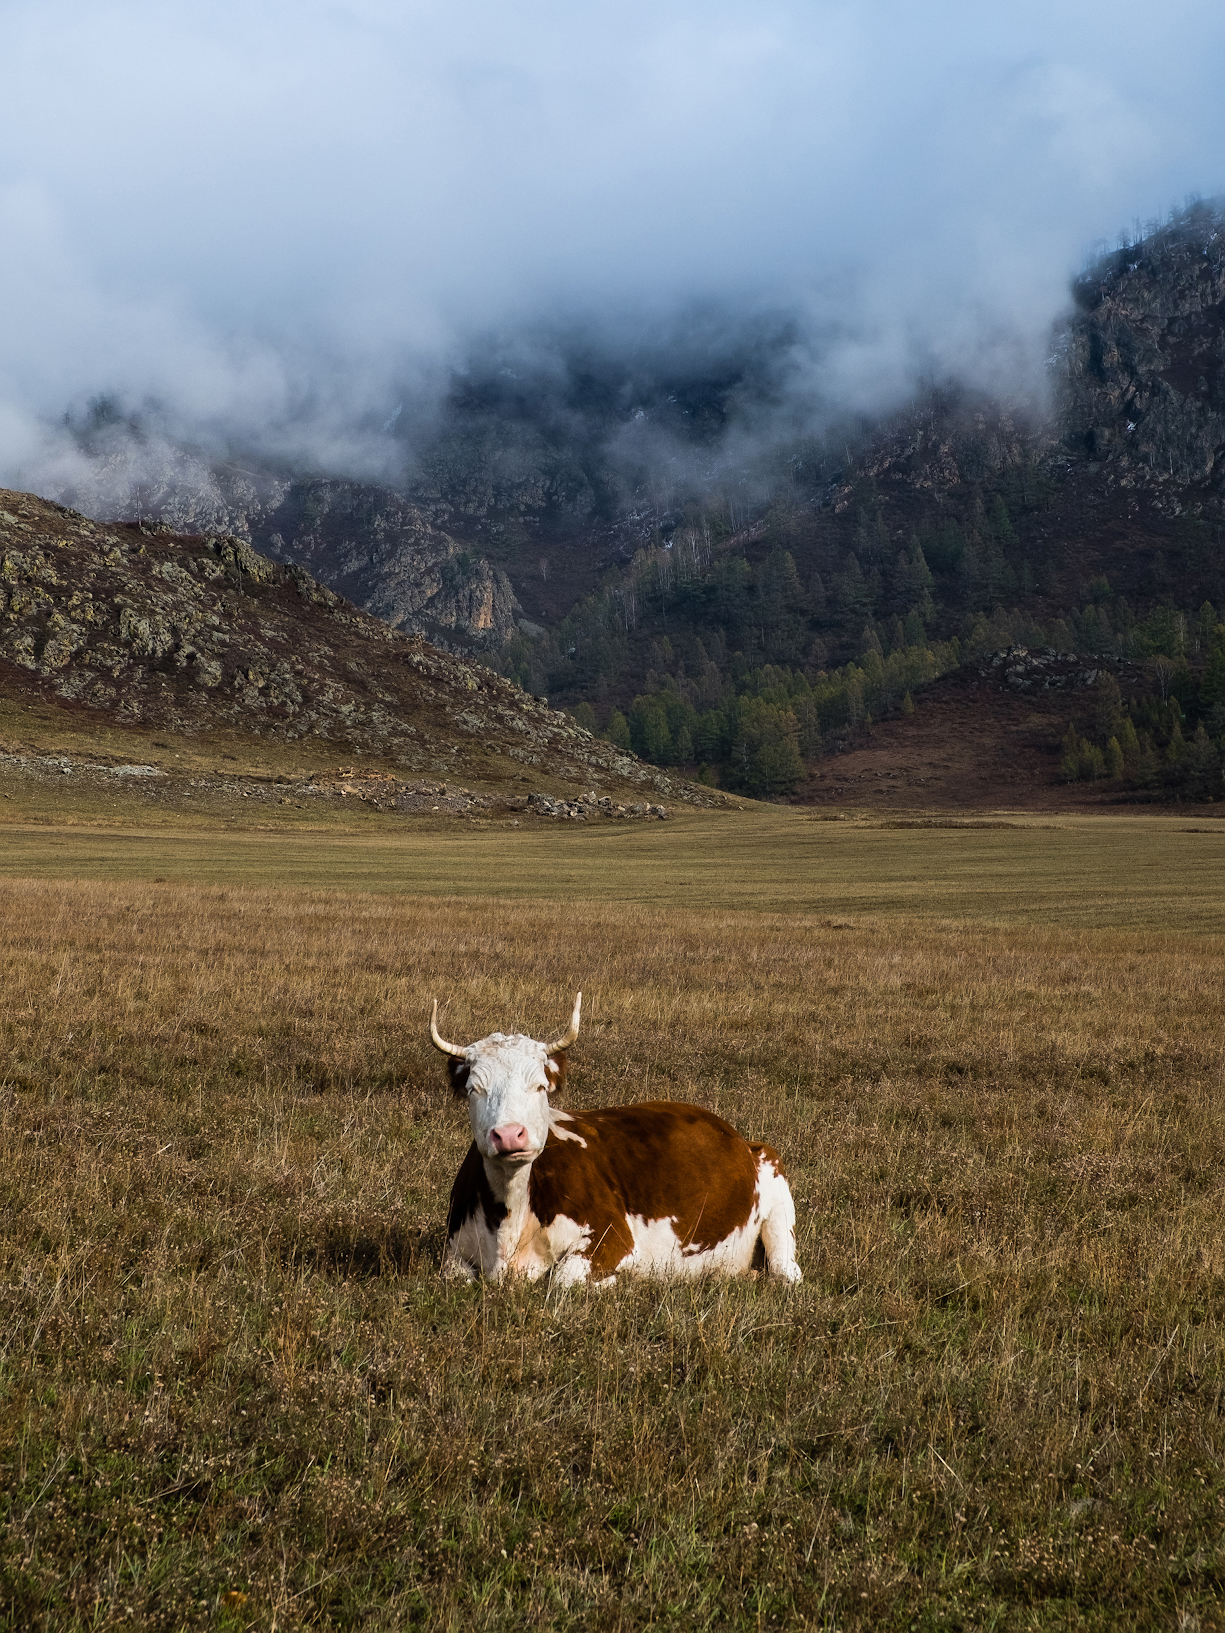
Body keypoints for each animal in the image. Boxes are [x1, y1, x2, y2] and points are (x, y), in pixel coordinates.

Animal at [431, 979, 806, 1286]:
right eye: (474, 1089)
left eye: (539, 1086)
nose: (510, 1135)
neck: (510, 1220)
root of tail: (739, 1138)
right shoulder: (452, 1254)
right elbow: (454, 1276)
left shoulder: (612, 1237)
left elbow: (562, 1281)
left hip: (778, 1207)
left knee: (786, 1272)